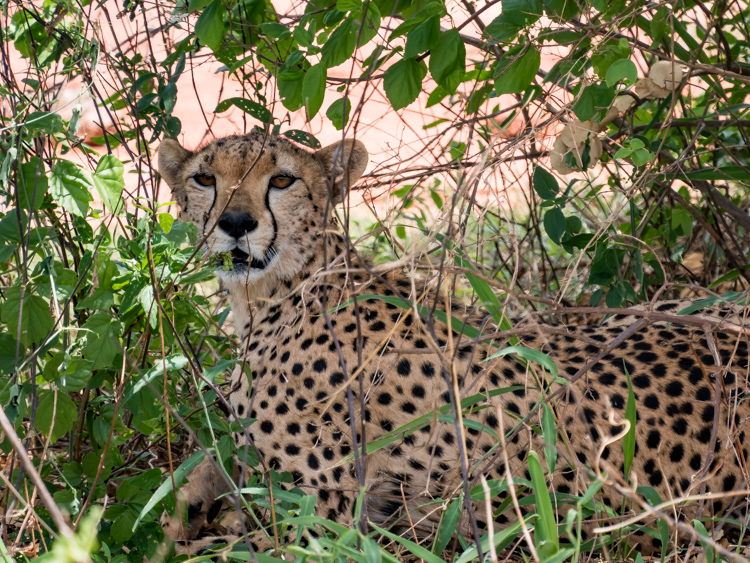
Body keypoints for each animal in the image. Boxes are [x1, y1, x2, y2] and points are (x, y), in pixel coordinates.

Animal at [159, 133, 750, 560]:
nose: (236, 223)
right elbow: (198, 473)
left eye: (282, 179)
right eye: (205, 178)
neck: (281, 291)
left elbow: (220, 546)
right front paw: (182, 505)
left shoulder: (322, 520)